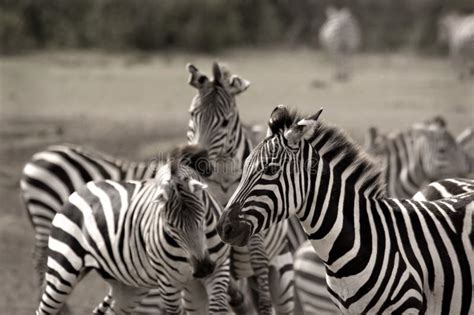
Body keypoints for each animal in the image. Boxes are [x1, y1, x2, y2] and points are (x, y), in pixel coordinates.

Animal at [35, 145, 231, 315]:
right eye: (169, 226)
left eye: (202, 217)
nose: (204, 268)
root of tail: (82, 188)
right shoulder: (168, 283)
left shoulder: (218, 270)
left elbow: (216, 309)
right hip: (62, 271)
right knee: (44, 308)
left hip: (128, 286)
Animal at [187, 63, 294, 314]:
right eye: (192, 115)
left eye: (225, 122)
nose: (197, 162)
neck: (224, 177)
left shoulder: (252, 223)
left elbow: (259, 261)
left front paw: (262, 305)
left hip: (282, 276)